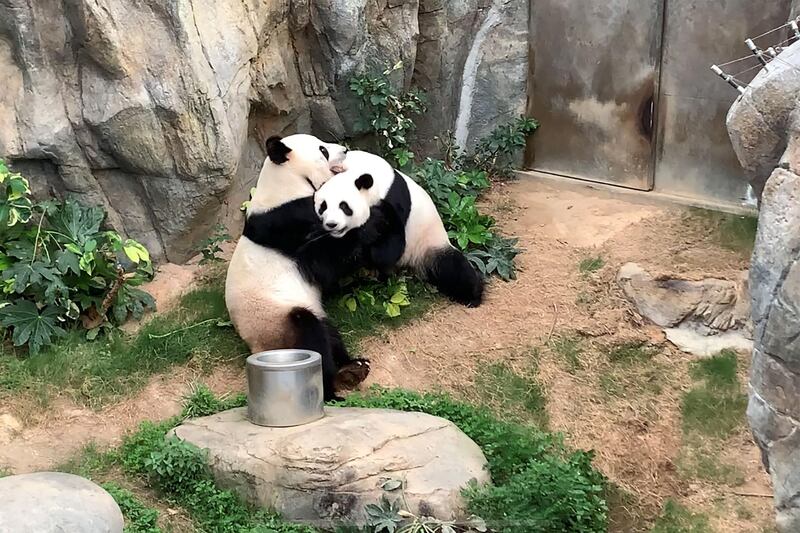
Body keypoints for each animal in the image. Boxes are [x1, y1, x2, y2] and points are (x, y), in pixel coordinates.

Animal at [225, 133, 372, 400]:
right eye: (323, 150)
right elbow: (323, 263)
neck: (285, 183)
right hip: (277, 322)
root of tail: (256, 348)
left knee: (329, 333)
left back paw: (352, 368)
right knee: (310, 334)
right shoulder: (288, 222)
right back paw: (331, 387)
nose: (345, 150)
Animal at [314, 150, 488, 308]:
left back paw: (472, 297)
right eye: (323, 206)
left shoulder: (395, 201)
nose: (332, 224)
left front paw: (369, 230)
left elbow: (389, 250)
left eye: (344, 207)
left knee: (452, 267)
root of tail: (410, 267)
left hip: (428, 244)